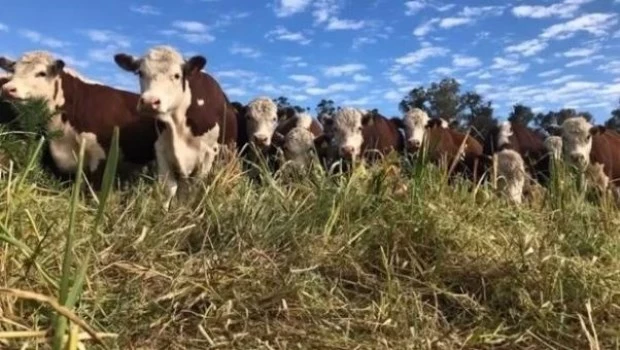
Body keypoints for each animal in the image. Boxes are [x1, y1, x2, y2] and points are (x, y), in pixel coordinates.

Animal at [114, 44, 237, 209]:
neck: (177, 124)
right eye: (140, 72)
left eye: (177, 75)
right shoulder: (161, 148)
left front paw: (188, 210)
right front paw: (165, 211)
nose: (149, 102)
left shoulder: (209, 152)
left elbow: (196, 187)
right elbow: (169, 187)